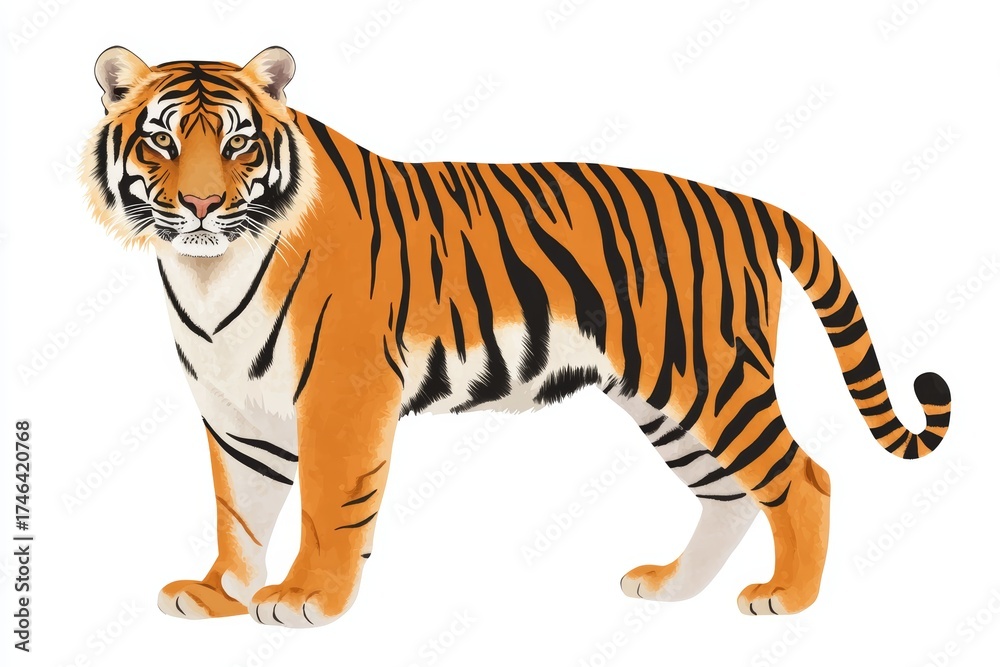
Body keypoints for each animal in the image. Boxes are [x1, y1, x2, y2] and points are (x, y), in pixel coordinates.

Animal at [82, 46, 952, 627]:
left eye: (237, 143)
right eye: (161, 140)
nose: (200, 205)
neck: (207, 273)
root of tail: (747, 203)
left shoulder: (341, 394)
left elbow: (328, 507)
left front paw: (304, 599)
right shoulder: (235, 411)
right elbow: (240, 509)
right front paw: (218, 593)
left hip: (711, 378)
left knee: (804, 478)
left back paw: (788, 599)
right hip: (669, 402)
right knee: (731, 491)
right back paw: (672, 587)